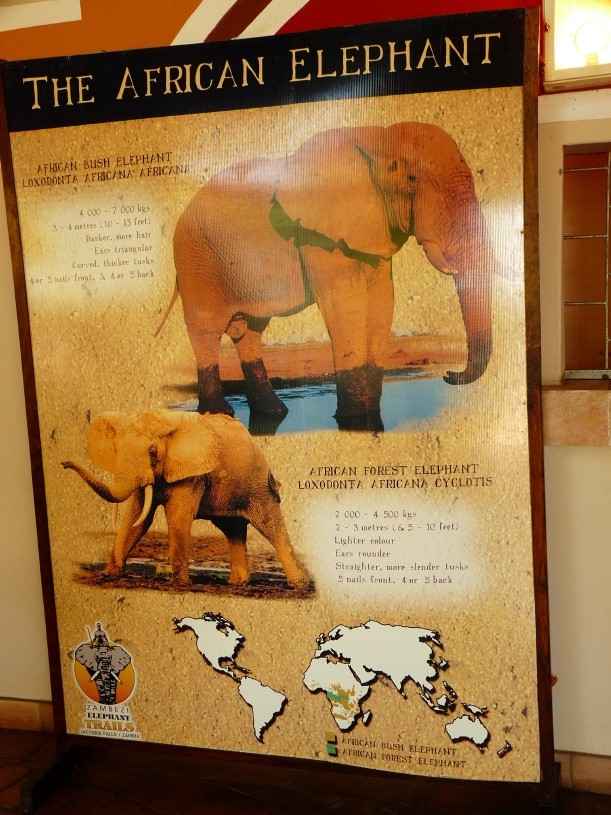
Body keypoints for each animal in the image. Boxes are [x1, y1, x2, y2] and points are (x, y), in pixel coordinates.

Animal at [62, 409, 308, 588]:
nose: (63, 463)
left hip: (258, 484)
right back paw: (238, 584)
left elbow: (177, 517)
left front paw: (180, 584)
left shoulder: (193, 473)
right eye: (115, 449)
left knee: (270, 526)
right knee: (233, 530)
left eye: (153, 452)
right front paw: (109, 575)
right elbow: (136, 517)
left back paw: (298, 586)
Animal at [158, 121, 495, 430]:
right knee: (207, 329)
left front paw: (366, 419)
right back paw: (220, 414)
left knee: (250, 331)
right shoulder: (318, 236)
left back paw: (274, 413)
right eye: (411, 179)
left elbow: (382, 300)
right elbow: (344, 303)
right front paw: (354, 421)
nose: (449, 374)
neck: (375, 137)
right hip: (196, 259)